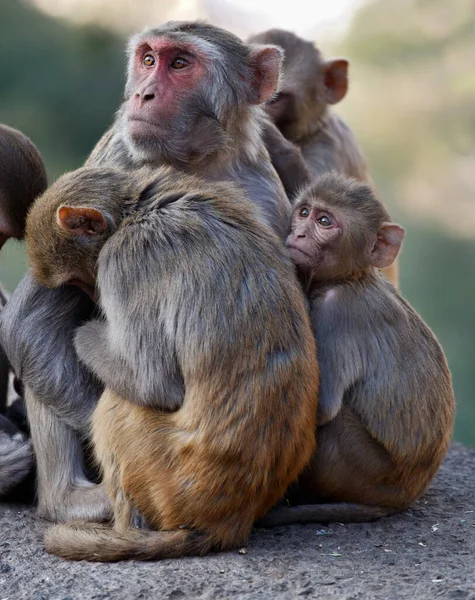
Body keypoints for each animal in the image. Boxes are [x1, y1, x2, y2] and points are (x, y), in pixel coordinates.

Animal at [26, 165, 322, 564]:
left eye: (77, 280)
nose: (94, 298)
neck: (136, 208)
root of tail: (231, 521)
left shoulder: (125, 259)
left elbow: (152, 381)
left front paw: (85, 331)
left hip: (167, 476)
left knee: (117, 404)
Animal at [260, 172, 458, 524]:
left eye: (324, 222)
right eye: (304, 212)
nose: (299, 233)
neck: (350, 278)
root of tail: (405, 496)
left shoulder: (335, 311)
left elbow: (321, 409)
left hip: (363, 469)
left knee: (331, 426)